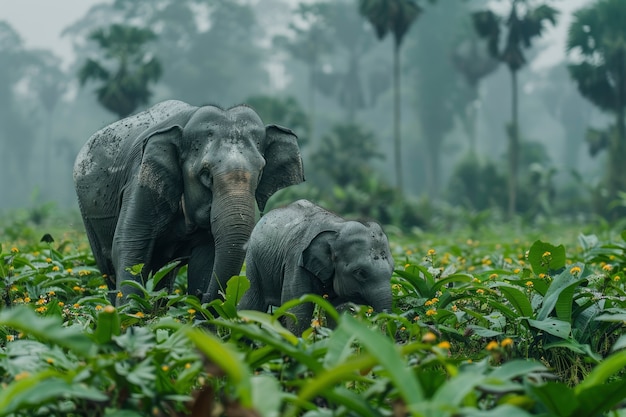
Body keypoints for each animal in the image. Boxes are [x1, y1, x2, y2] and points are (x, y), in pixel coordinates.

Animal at [74, 100, 304, 302]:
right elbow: (130, 245)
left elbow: (206, 258)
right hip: (88, 216)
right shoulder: (140, 181)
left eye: (261, 172)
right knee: (108, 266)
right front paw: (129, 316)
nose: (203, 296)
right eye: (205, 174)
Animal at [236, 199, 392, 334]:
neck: (338, 227)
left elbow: (338, 311)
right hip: (252, 262)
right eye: (360, 272)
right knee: (251, 304)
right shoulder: (296, 261)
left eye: (392, 271)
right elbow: (297, 309)